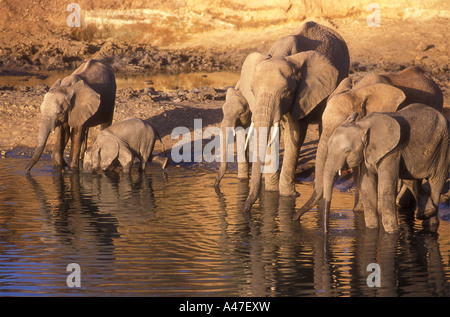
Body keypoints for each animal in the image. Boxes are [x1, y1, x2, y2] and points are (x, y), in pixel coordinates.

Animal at [241, 21, 350, 211]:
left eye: (286, 92)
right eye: (252, 91)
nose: (244, 210)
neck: (280, 54)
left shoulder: (301, 96)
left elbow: (296, 134)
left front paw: (288, 195)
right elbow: (271, 133)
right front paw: (271, 191)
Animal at [294, 66, 444, 220]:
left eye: (342, 123)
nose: (296, 218)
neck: (357, 92)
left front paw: (376, 211)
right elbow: (358, 167)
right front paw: (358, 210)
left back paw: (400, 203)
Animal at [322, 103, 448, 232]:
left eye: (347, 151)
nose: (326, 231)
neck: (362, 125)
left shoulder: (392, 151)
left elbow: (385, 187)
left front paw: (392, 232)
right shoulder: (367, 152)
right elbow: (367, 187)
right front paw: (372, 229)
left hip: (443, 145)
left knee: (436, 182)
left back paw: (430, 223)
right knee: (410, 179)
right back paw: (425, 213)